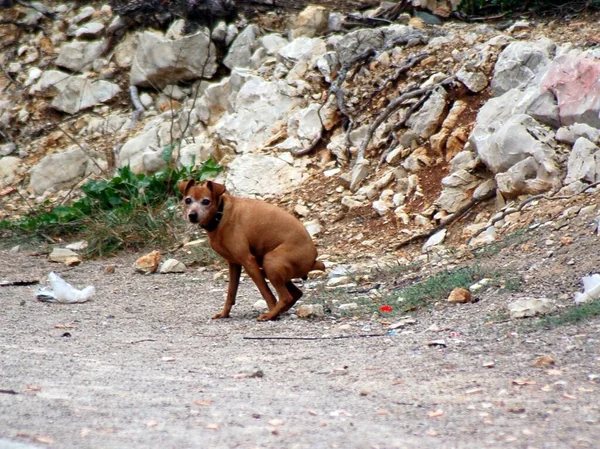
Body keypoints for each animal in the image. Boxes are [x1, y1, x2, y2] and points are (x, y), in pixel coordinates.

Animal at [179, 178, 324, 318]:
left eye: (206, 201)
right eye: (188, 200)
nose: (192, 215)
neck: (220, 215)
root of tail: (313, 260)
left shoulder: (248, 261)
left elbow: (266, 293)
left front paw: (271, 311)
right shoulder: (234, 264)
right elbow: (231, 293)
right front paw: (224, 314)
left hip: (271, 261)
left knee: (285, 297)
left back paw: (270, 315)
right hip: (271, 268)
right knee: (296, 293)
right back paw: (279, 311)